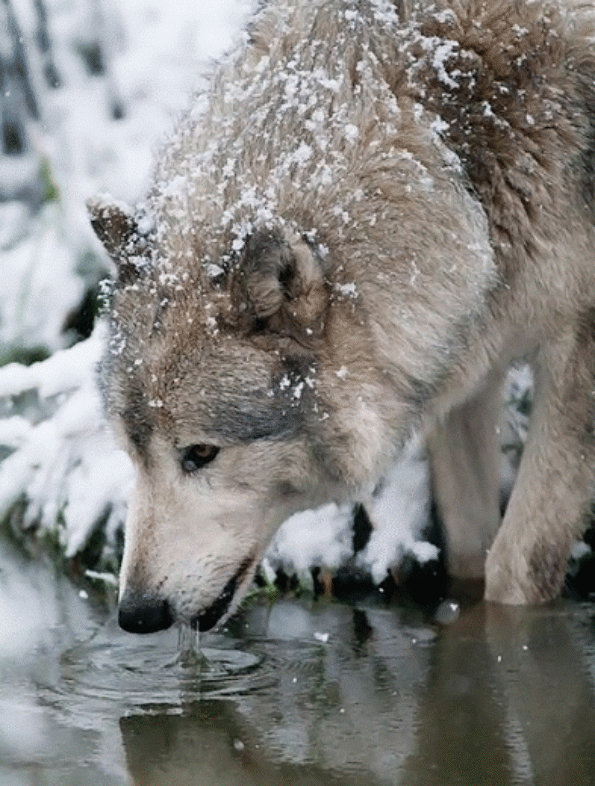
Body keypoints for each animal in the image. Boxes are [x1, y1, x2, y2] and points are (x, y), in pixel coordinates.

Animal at [89, 0, 595, 633]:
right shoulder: (467, 355)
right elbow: (467, 550)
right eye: (133, 453)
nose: (135, 614)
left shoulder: (577, 347)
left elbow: (517, 564)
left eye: (201, 454)